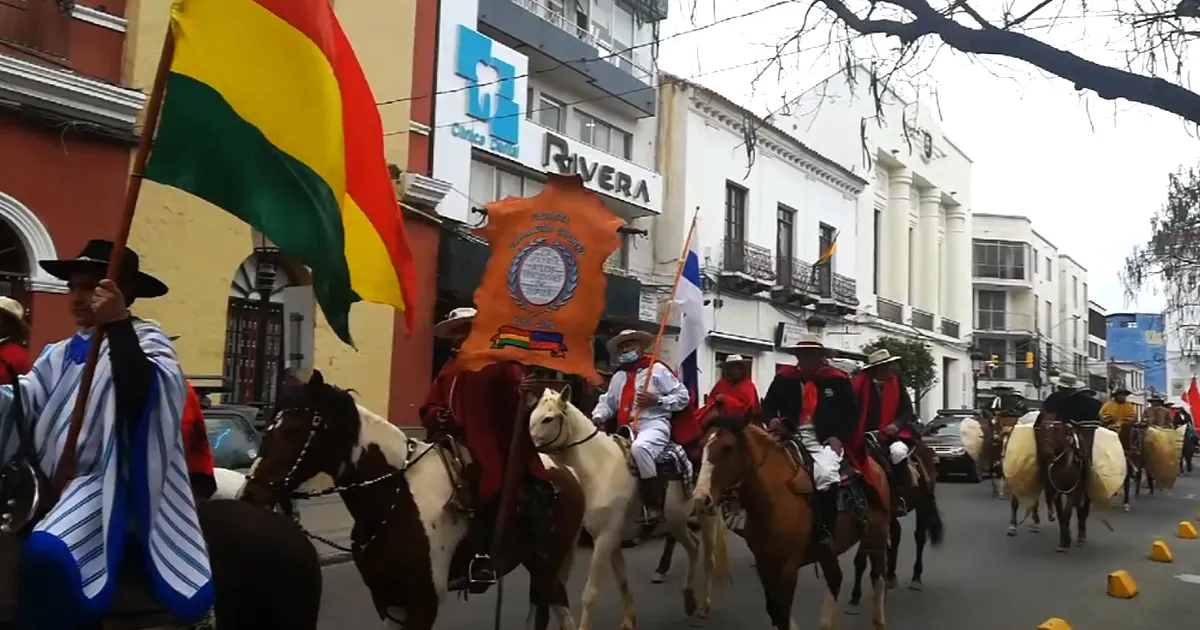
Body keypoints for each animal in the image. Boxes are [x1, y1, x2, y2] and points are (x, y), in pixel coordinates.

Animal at [238, 369, 585, 628]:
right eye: (269, 427)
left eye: (296, 430)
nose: (251, 493)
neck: (394, 500)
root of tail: (567, 472)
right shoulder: (389, 601)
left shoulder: (423, 603)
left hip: (547, 565)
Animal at [691, 415, 888, 628]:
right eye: (702, 446)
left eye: (728, 448)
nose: (701, 498)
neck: (772, 499)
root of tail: (874, 466)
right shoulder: (764, 564)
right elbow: (776, 612)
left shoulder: (788, 567)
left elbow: (783, 613)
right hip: (828, 552)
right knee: (835, 580)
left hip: (876, 536)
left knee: (878, 577)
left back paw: (879, 621)